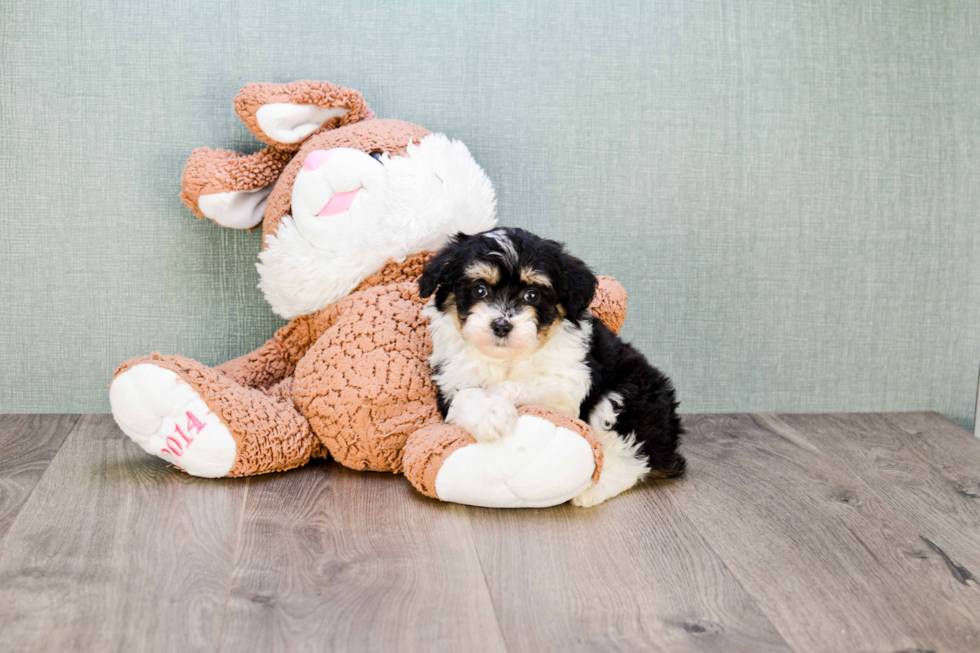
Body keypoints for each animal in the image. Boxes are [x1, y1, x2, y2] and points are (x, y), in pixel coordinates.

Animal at [418, 227, 684, 506]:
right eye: (480, 290)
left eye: (532, 295)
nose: (501, 326)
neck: (507, 358)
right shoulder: (451, 379)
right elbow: (467, 395)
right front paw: (491, 415)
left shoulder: (570, 383)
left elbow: (538, 386)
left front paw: (499, 395)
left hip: (630, 396)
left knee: (631, 454)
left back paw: (590, 490)